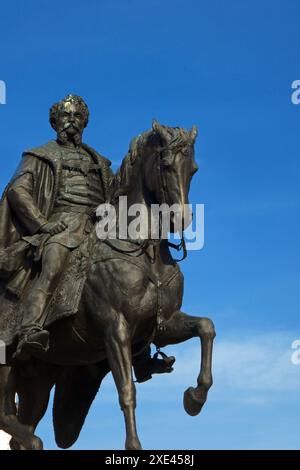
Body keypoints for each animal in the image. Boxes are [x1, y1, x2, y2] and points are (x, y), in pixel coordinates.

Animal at [0, 119, 216, 450]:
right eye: (166, 164)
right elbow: (127, 391)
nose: (181, 219)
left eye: (193, 168)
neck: (143, 250)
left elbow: (206, 327)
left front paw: (195, 397)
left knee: (18, 422)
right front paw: (135, 446)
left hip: (36, 378)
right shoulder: (115, 328)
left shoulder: (163, 324)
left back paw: (30, 438)